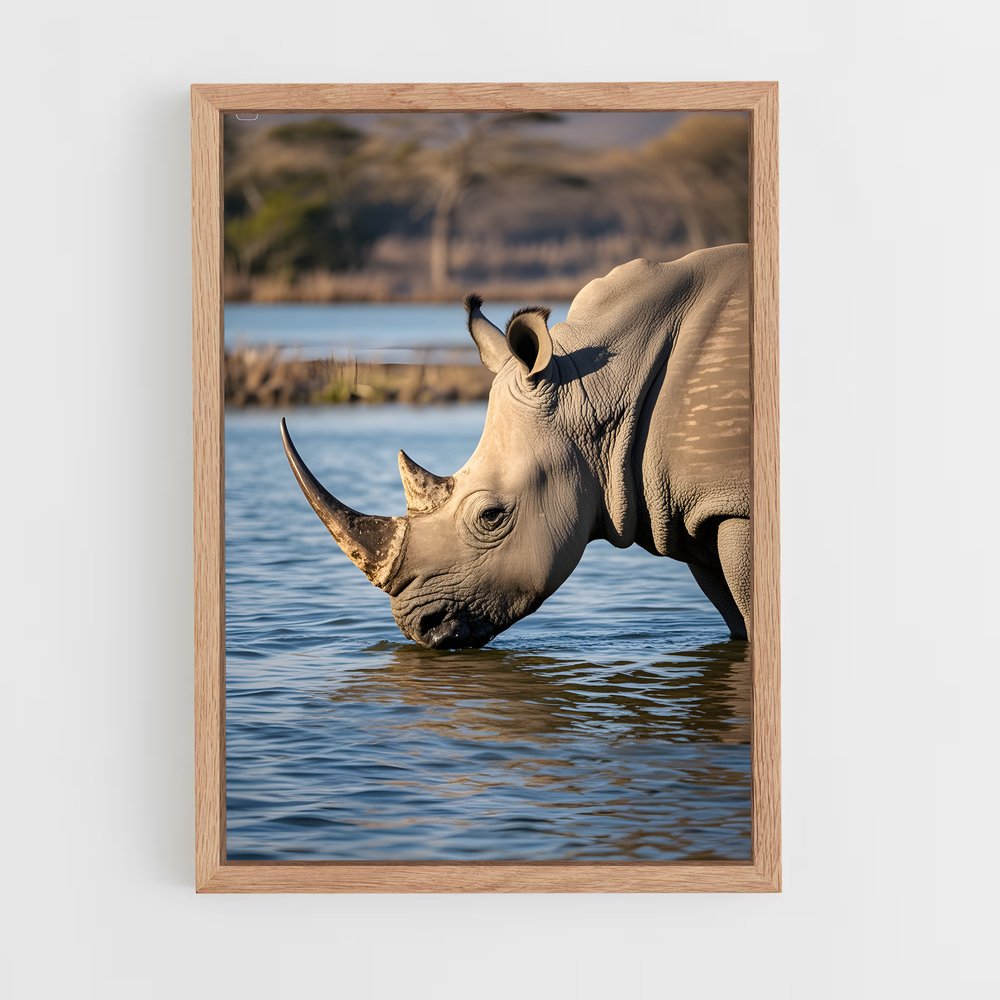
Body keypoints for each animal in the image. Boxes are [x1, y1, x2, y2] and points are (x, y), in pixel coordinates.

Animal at [281, 243, 751, 649]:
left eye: (491, 516)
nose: (418, 627)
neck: (597, 385)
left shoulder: (732, 505)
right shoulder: (698, 510)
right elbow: (738, 617)